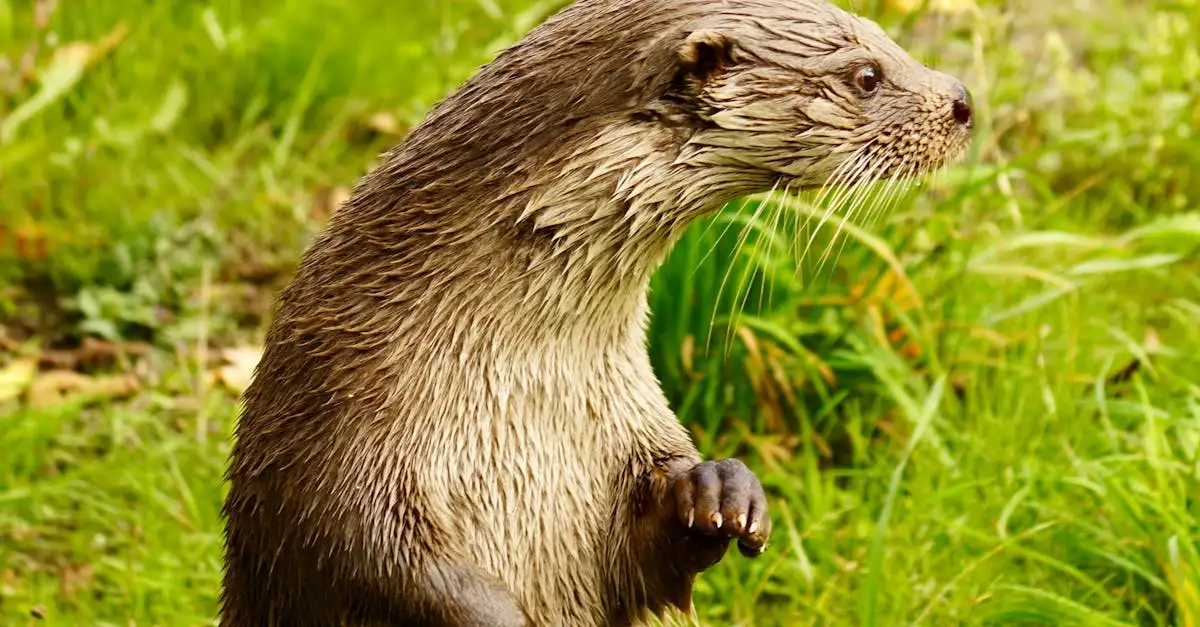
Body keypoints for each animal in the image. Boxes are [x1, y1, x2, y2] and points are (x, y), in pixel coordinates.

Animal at [220, 0, 973, 625]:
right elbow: (378, 565)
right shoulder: (343, 458)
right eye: (866, 75)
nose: (963, 99)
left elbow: (642, 562)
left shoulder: (622, 424)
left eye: (888, 39)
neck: (518, 373)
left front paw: (719, 489)